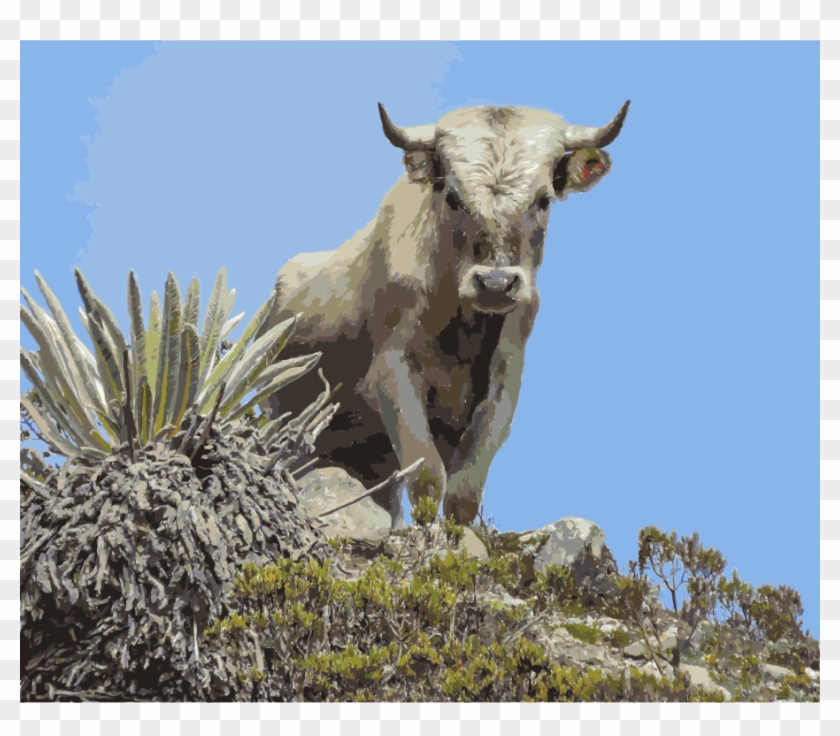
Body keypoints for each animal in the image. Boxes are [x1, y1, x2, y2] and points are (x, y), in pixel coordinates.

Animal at [260, 100, 630, 527]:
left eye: (544, 199)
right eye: (454, 197)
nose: (496, 283)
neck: (465, 327)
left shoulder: (505, 380)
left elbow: (464, 491)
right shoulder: (394, 371)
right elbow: (426, 477)